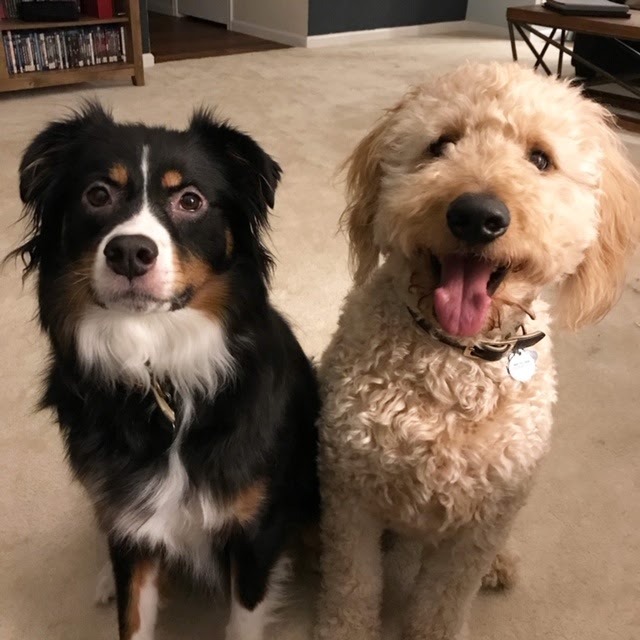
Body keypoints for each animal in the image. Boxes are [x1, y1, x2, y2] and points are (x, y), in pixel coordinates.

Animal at [10, 105, 320, 640]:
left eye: (190, 200)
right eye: (97, 194)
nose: (129, 252)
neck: (159, 369)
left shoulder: (255, 528)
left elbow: (244, 617)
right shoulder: (132, 520)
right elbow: (132, 615)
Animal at [316, 61, 640, 640]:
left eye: (540, 159)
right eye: (441, 144)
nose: (477, 215)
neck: (456, 357)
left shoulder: (481, 520)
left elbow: (443, 602)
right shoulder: (350, 495)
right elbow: (352, 584)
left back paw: (500, 564)